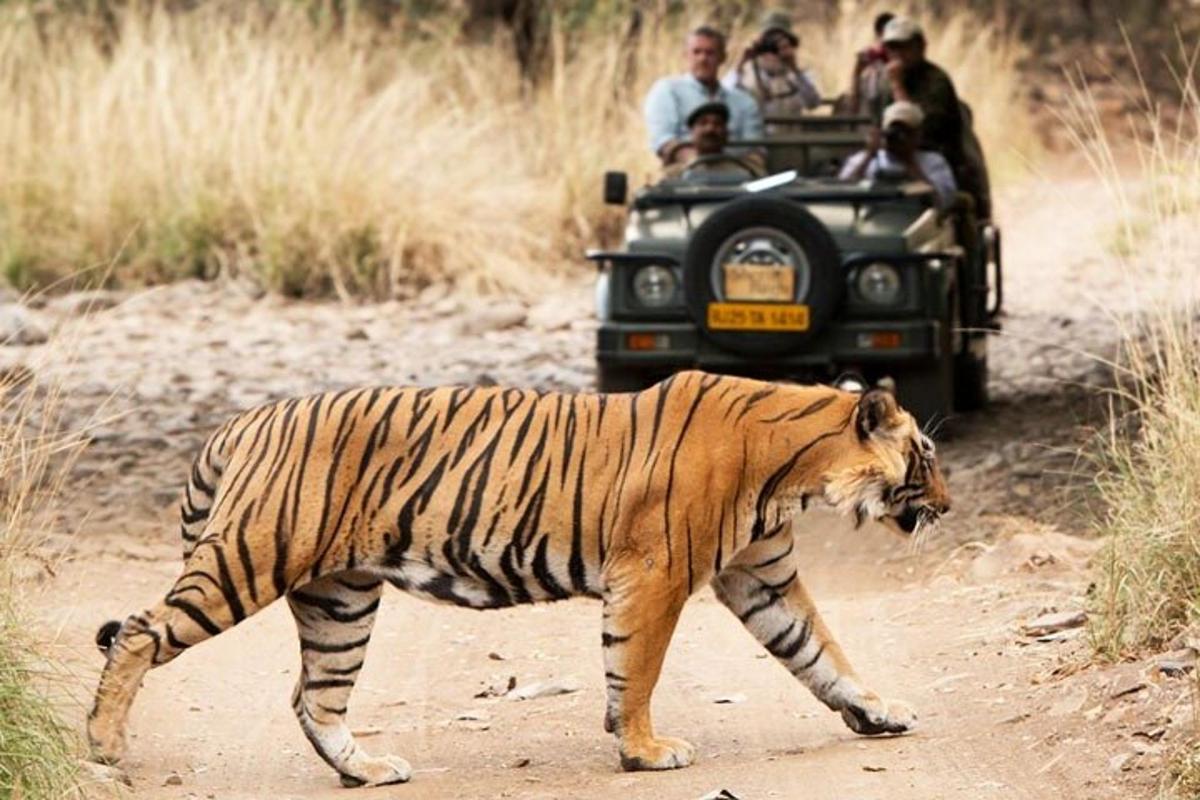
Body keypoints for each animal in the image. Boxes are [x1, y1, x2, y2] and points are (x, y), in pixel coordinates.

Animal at [87, 369, 945, 786]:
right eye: (925, 457)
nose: (947, 503)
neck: (794, 470)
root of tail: (239, 421)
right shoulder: (656, 573)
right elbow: (637, 669)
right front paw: (644, 751)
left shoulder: (759, 576)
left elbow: (822, 652)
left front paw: (878, 713)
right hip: (249, 559)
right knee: (139, 632)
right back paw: (102, 747)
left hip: (340, 599)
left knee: (313, 698)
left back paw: (367, 771)